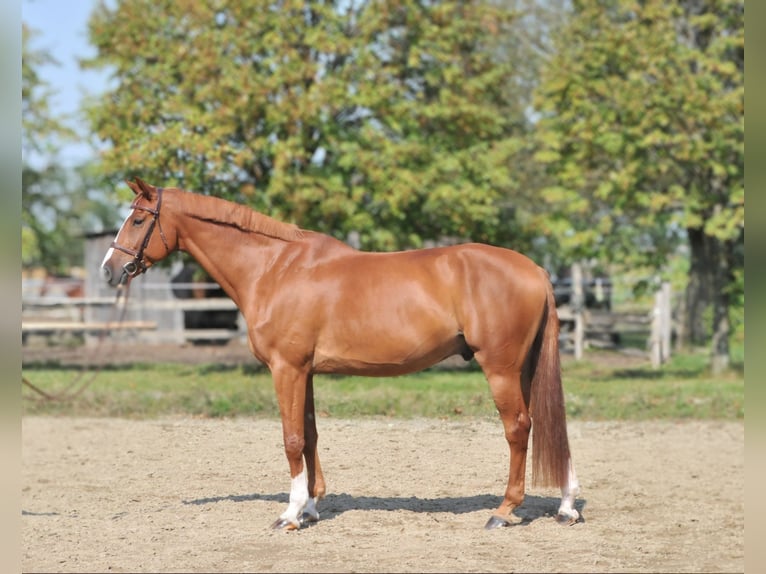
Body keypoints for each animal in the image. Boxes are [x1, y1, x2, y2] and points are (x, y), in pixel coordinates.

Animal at [102, 179, 584, 532]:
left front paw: (290, 514)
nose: (109, 270)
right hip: (525, 368)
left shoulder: (286, 369)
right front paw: (312, 507)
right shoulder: (305, 372)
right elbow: (310, 434)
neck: (275, 268)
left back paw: (504, 511)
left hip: (500, 368)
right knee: (549, 424)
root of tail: (535, 269)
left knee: (519, 428)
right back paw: (566, 507)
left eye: (139, 219)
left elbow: (291, 439)